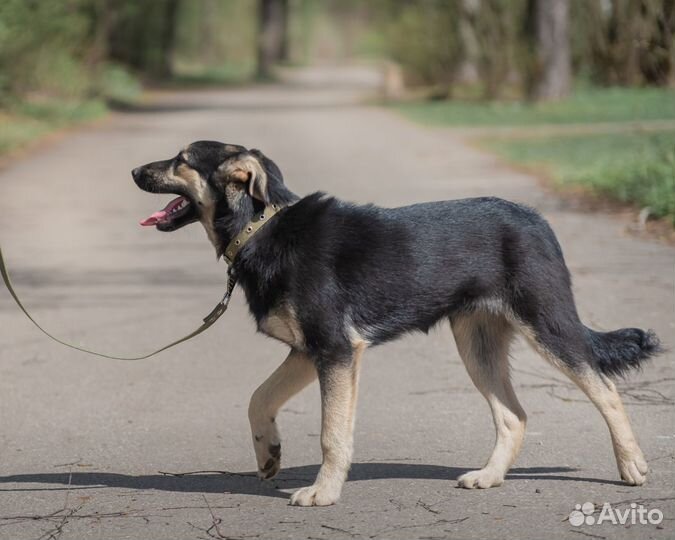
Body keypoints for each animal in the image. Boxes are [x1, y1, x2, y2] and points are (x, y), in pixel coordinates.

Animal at [132, 139, 660, 506]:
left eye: (181, 159)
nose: (134, 170)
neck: (260, 226)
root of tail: (540, 222)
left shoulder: (336, 351)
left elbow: (332, 434)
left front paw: (323, 493)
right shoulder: (308, 352)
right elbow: (258, 399)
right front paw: (269, 455)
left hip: (547, 324)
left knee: (605, 388)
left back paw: (632, 464)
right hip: (477, 345)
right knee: (514, 416)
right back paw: (489, 477)